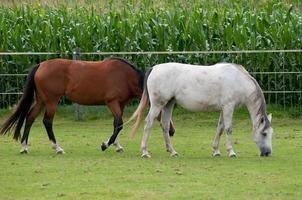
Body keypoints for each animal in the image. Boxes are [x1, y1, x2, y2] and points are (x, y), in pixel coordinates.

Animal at [0, 57, 175, 155]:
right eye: (162, 108)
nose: (172, 131)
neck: (125, 77)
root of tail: (40, 65)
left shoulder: (120, 105)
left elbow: (116, 125)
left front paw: (116, 145)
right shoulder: (112, 103)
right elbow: (118, 125)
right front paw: (105, 145)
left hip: (42, 100)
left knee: (30, 118)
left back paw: (24, 147)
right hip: (51, 101)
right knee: (47, 122)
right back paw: (57, 148)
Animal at [129, 62, 274, 158]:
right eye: (264, 133)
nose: (267, 153)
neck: (238, 80)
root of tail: (154, 68)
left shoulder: (224, 108)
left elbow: (220, 128)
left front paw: (216, 151)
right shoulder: (228, 107)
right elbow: (228, 128)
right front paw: (231, 152)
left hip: (168, 104)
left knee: (164, 126)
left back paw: (173, 151)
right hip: (157, 105)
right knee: (148, 123)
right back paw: (145, 152)